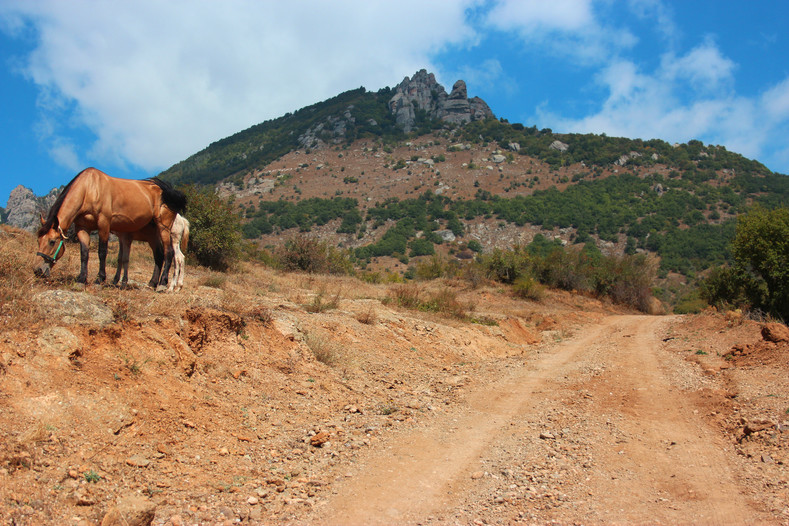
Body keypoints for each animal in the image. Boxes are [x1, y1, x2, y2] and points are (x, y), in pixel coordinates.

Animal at [35, 168, 188, 288]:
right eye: (38, 241)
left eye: (52, 242)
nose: (37, 270)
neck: (89, 189)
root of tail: (167, 191)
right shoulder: (82, 228)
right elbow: (84, 253)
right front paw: (81, 280)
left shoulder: (104, 224)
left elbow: (102, 252)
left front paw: (100, 279)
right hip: (154, 236)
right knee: (159, 255)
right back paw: (153, 283)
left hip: (164, 229)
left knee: (169, 253)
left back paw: (163, 284)